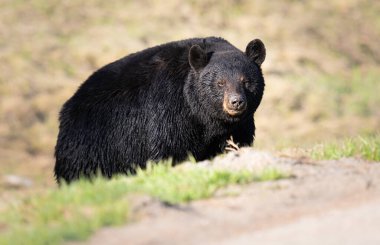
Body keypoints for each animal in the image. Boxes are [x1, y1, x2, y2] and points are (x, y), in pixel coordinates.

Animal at [55, 37, 266, 183]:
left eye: (246, 81)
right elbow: (169, 150)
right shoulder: (168, 111)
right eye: (220, 83)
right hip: (88, 148)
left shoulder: (240, 125)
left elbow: (236, 143)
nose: (236, 102)